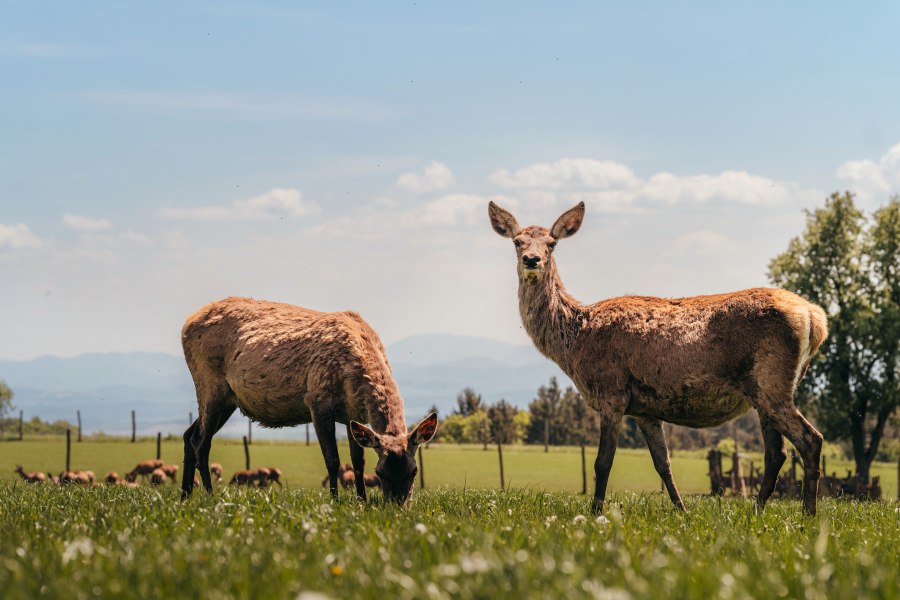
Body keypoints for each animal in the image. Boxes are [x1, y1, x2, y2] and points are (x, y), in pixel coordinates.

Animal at [178, 298, 438, 504]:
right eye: (381, 472)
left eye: (414, 471)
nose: (398, 505)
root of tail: (185, 325)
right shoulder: (318, 400)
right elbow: (332, 459)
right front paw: (335, 501)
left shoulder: (353, 414)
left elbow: (357, 461)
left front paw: (361, 500)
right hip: (209, 383)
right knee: (202, 442)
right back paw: (209, 496)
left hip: (228, 400)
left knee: (190, 434)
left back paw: (185, 495)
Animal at [488, 202, 828, 516]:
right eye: (517, 241)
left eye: (551, 243)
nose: (532, 260)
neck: (575, 341)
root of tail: (815, 316)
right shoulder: (645, 409)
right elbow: (663, 463)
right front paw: (682, 510)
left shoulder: (611, 392)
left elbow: (602, 462)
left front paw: (595, 512)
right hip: (765, 391)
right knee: (777, 453)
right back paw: (758, 510)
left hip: (772, 382)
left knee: (810, 440)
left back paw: (808, 514)